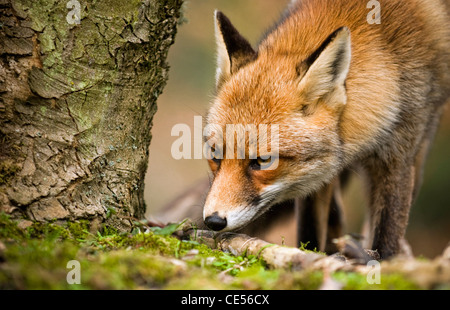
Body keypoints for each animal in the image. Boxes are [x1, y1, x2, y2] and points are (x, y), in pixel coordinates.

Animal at [201, 0, 450, 260]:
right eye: (214, 155)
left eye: (263, 161)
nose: (214, 221)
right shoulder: (313, 177)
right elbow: (310, 229)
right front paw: (310, 255)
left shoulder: (398, 156)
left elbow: (387, 234)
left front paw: (384, 261)